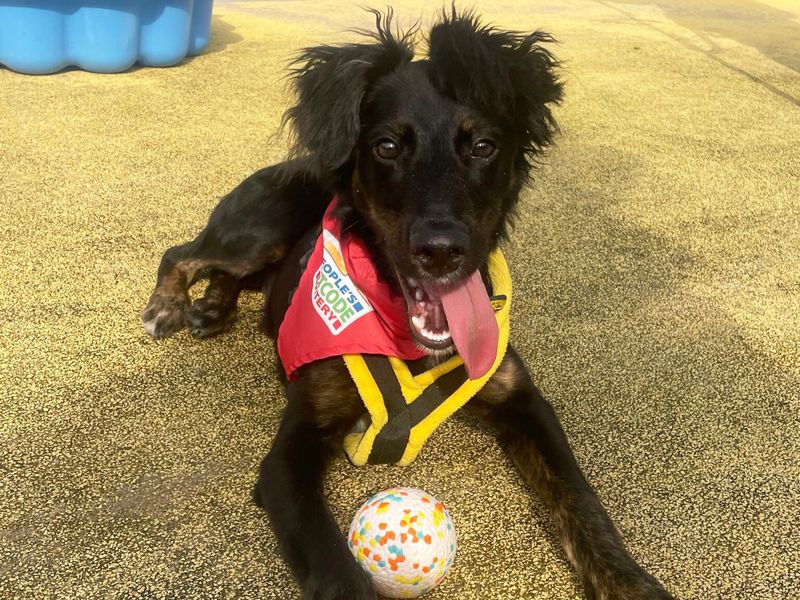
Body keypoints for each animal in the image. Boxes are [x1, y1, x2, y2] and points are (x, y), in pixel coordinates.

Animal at [142, 7, 676, 596]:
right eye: (387, 147)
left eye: (483, 147)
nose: (441, 251)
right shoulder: (291, 452)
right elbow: (333, 564)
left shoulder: (523, 402)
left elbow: (580, 499)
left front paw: (629, 582)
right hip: (258, 230)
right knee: (184, 254)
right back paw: (169, 307)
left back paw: (213, 308)